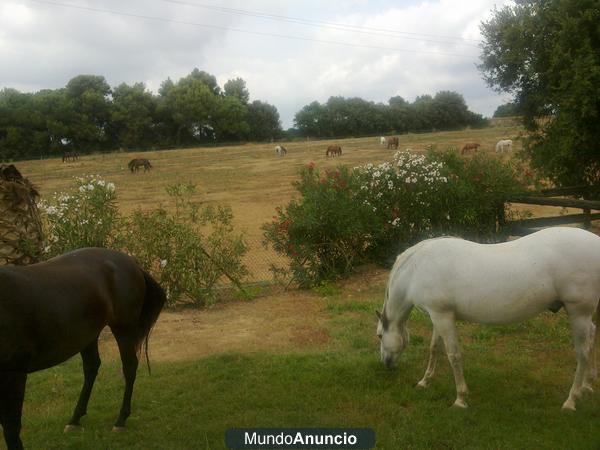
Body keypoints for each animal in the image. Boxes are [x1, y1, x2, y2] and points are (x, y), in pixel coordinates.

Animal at [0, 248, 166, 448]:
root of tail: (132, 263)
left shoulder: (14, 372)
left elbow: (11, 428)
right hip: (89, 335)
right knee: (92, 367)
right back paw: (75, 419)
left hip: (123, 328)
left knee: (129, 367)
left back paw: (120, 420)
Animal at [380, 229, 600, 412]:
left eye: (379, 335)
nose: (386, 363)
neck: (417, 268)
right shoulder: (438, 316)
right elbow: (435, 348)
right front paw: (424, 382)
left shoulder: (443, 316)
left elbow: (453, 355)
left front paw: (460, 398)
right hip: (583, 316)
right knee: (592, 336)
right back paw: (587, 385)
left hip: (578, 314)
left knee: (582, 353)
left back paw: (571, 400)